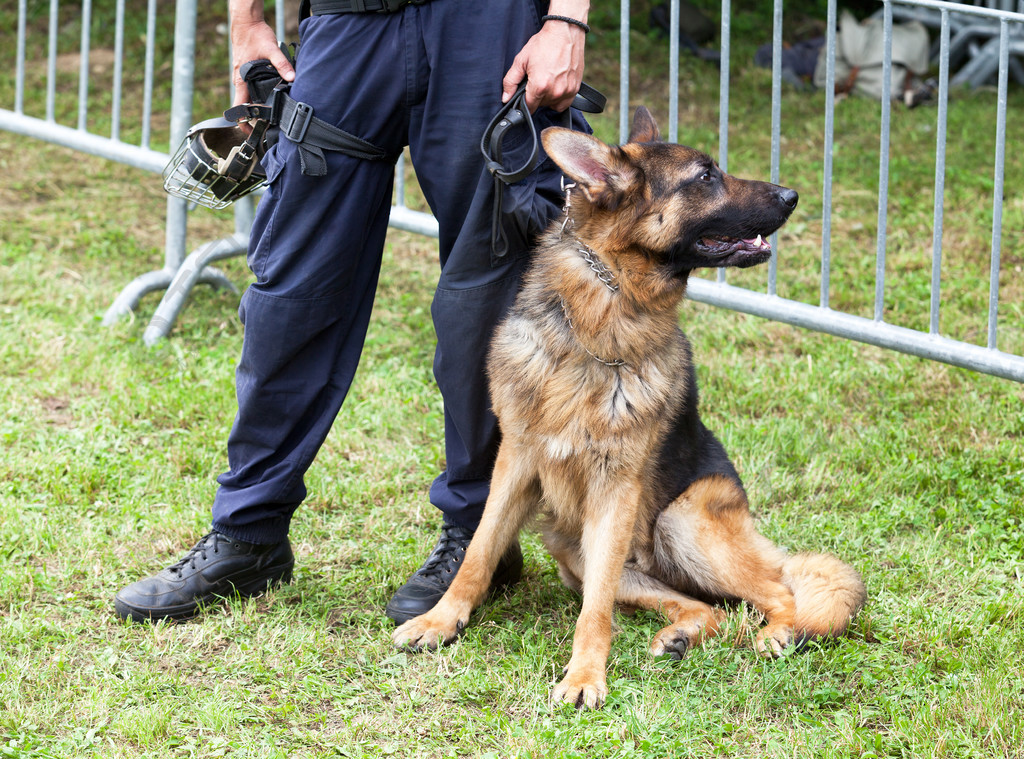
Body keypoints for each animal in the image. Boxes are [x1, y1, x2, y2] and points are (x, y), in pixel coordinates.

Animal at [391, 108, 864, 708]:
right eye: (705, 176)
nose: (793, 195)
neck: (603, 319)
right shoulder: (516, 462)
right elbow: (478, 552)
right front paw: (441, 620)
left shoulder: (616, 489)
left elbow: (595, 611)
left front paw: (584, 676)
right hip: (577, 549)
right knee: (704, 606)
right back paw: (681, 635)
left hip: (678, 522)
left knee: (779, 590)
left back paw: (778, 634)